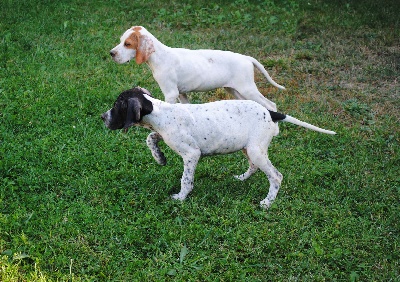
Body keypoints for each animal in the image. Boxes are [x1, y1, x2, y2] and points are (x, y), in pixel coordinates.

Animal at [101, 88, 334, 209]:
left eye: (117, 105)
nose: (103, 117)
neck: (161, 112)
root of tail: (270, 112)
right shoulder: (163, 134)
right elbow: (150, 137)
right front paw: (160, 157)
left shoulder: (191, 154)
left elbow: (185, 179)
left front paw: (181, 197)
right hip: (248, 148)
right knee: (253, 167)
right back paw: (241, 178)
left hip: (257, 150)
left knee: (276, 176)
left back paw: (267, 202)